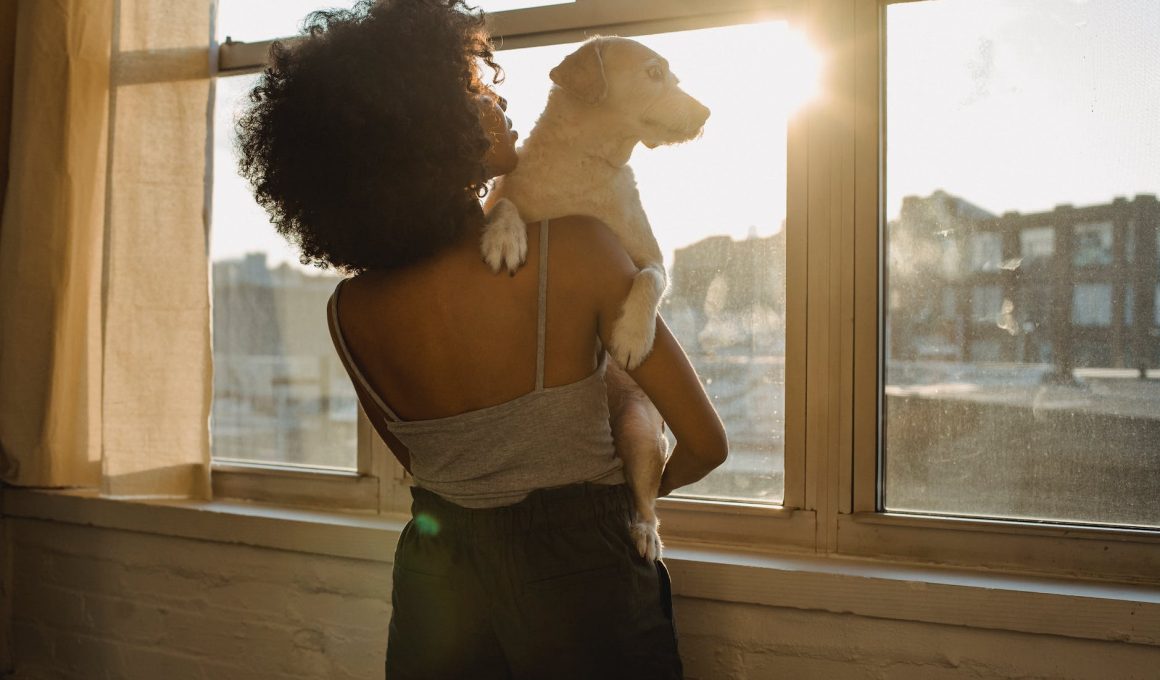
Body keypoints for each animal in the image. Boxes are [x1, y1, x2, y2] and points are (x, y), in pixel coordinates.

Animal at [477, 34, 705, 559]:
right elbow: (503, 203)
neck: (587, 160)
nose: (706, 112)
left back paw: (644, 533)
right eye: (654, 73)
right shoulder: (506, 195)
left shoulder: (652, 258)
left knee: (645, 500)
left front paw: (632, 339)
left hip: (642, 433)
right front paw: (504, 237)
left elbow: (650, 279)